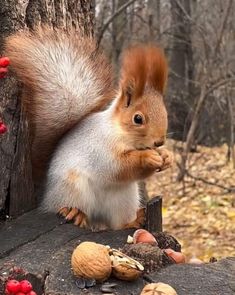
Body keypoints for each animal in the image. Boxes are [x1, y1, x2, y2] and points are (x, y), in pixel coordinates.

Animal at [3, 27, 173, 231]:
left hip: (124, 199)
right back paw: (75, 214)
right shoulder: (100, 150)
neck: (121, 133)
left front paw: (166, 157)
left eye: (165, 112)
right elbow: (118, 166)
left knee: (117, 224)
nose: (159, 141)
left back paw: (134, 220)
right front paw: (148, 157)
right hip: (73, 189)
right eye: (138, 118)